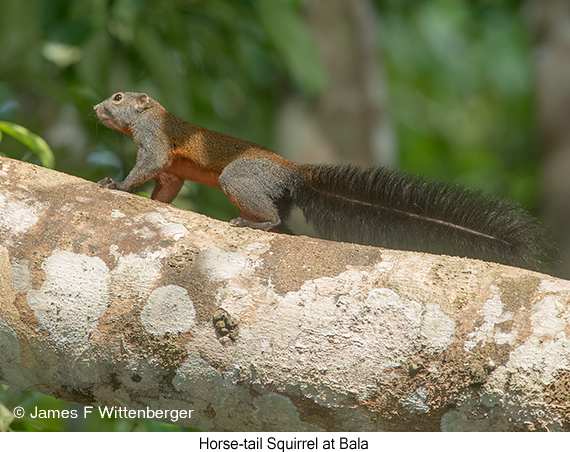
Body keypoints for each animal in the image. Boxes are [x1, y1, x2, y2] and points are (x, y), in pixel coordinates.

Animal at [95, 90, 548, 270]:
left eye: (117, 98)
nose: (97, 108)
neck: (149, 115)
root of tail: (292, 172)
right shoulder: (171, 171)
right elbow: (167, 185)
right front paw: (155, 203)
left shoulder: (155, 140)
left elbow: (148, 165)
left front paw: (118, 186)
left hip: (240, 176)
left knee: (266, 211)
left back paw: (256, 223)